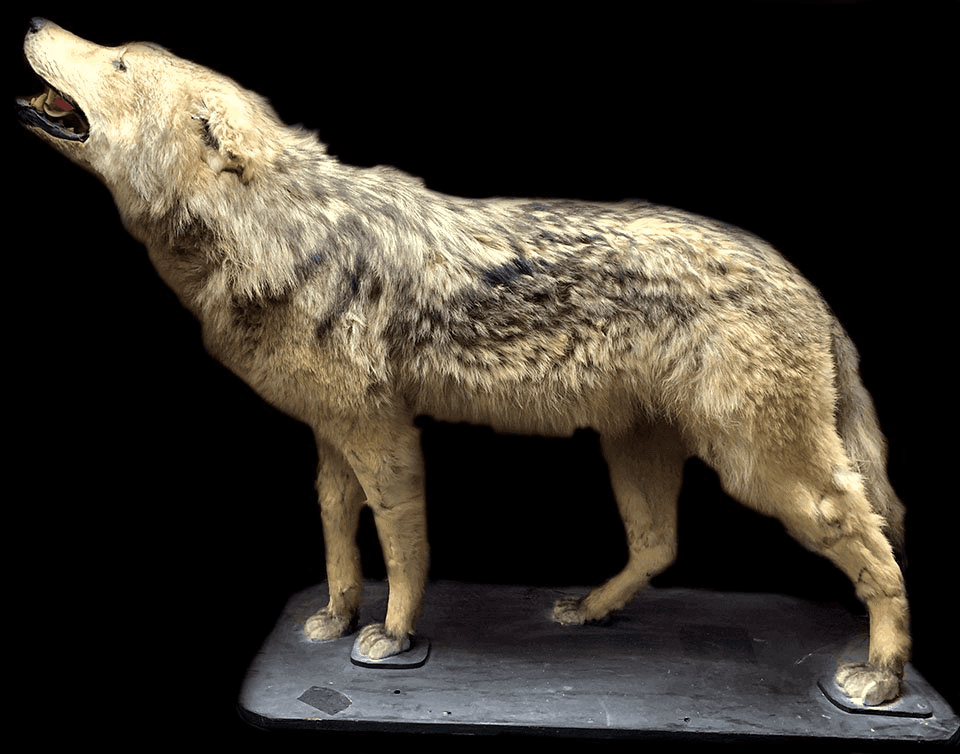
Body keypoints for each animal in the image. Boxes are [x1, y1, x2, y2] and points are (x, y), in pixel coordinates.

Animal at [18, 18, 909, 705]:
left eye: (120, 62)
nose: (32, 22)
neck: (278, 233)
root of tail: (805, 284)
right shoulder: (331, 433)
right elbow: (337, 530)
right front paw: (336, 618)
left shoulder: (384, 432)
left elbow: (402, 539)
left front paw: (392, 634)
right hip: (638, 450)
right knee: (661, 546)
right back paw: (588, 611)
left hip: (765, 470)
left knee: (872, 540)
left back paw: (882, 679)